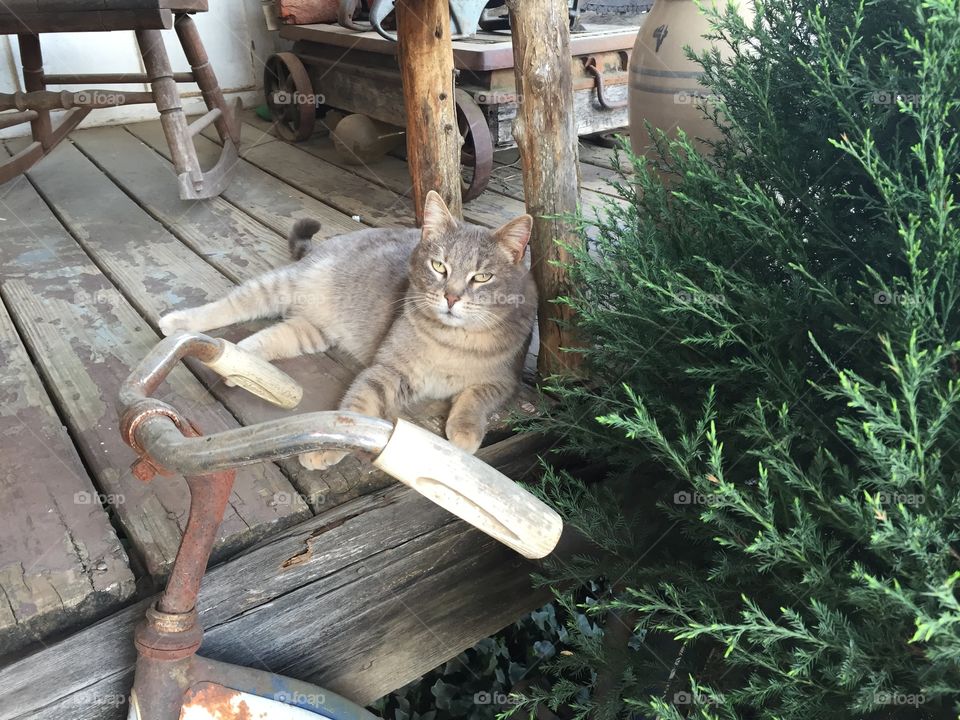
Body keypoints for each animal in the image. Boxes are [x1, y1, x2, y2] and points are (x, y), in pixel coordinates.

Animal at [157, 191, 532, 470]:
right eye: (439, 266)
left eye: (482, 277)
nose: (451, 297)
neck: (452, 341)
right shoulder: (386, 372)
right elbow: (356, 412)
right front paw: (325, 450)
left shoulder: (504, 382)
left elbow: (475, 398)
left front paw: (464, 431)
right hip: (277, 287)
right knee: (229, 306)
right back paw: (178, 322)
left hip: (309, 331)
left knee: (258, 341)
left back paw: (242, 369)